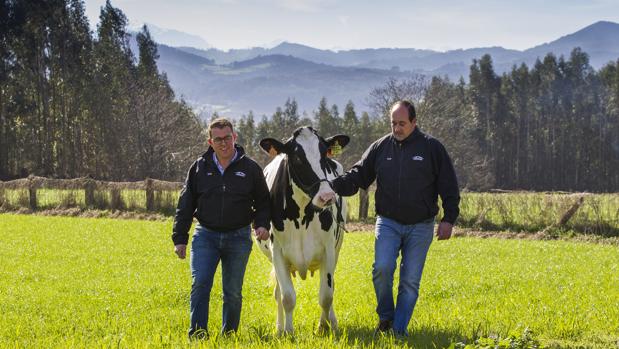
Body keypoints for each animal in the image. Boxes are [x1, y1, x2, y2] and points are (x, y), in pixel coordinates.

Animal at [253, 126, 348, 334]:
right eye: (296, 158)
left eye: (324, 154)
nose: (327, 196)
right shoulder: (278, 254)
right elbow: (287, 297)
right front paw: (287, 332)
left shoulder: (329, 251)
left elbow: (326, 295)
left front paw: (323, 327)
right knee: (278, 293)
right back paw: (279, 327)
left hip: (337, 250)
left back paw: (333, 322)